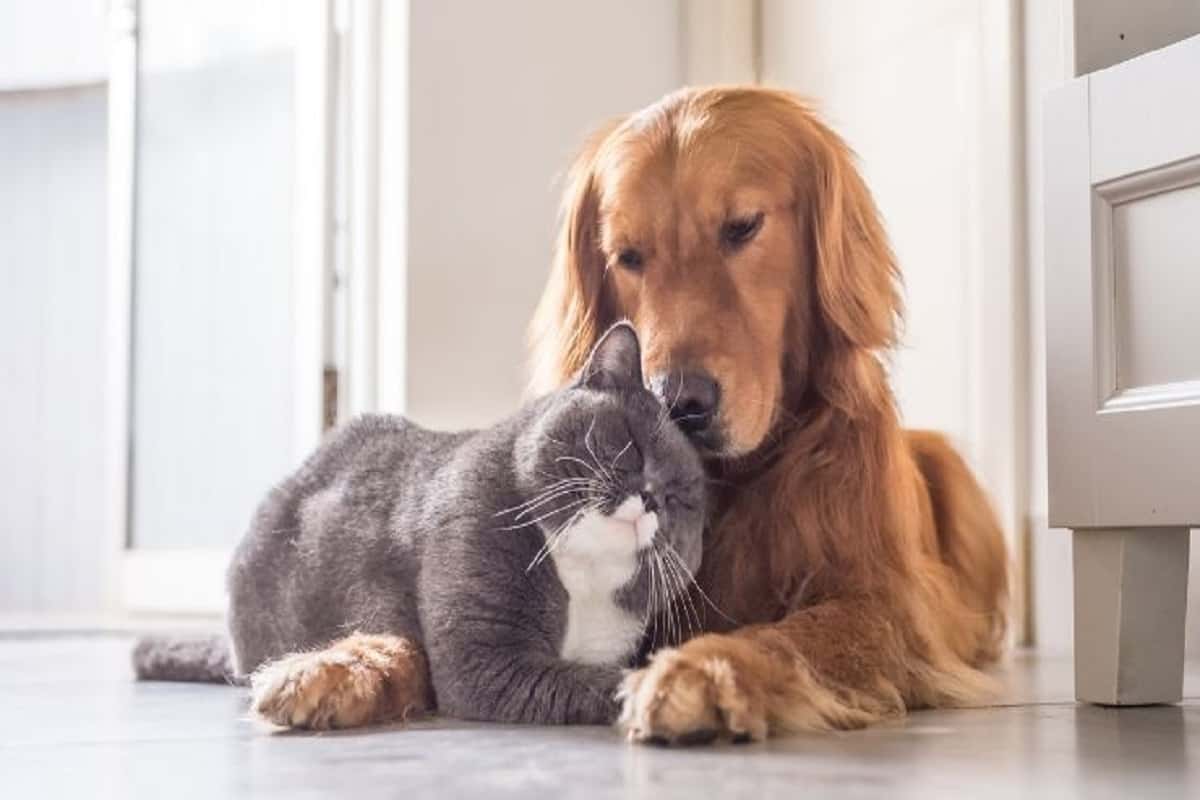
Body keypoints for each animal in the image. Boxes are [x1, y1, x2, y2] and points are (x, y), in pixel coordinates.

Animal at [137, 321, 705, 729]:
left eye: (680, 498)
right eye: (630, 443)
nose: (651, 497)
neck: (581, 579)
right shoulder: (485, 658)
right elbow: (595, 680)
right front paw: (657, 690)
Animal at [530, 87, 1008, 743]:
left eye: (742, 227)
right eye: (627, 256)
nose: (678, 401)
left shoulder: (884, 604)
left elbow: (791, 635)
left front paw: (704, 670)